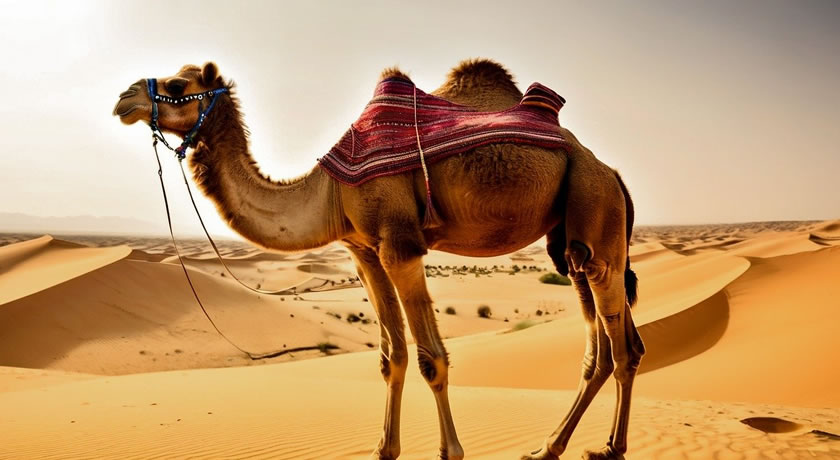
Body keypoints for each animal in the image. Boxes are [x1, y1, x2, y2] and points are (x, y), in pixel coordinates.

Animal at [113, 59, 645, 460]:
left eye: (178, 86)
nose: (124, 98)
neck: (327, 191)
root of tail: (613, 172)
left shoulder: (399, 245)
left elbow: (432, 358)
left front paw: (451, 452)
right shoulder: (363, 252)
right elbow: (393, 357)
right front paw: (383, 449)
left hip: (595, 208)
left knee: (620, 349)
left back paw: (610, 449)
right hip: (570, 243)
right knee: (604, 348)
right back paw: (549, 448)